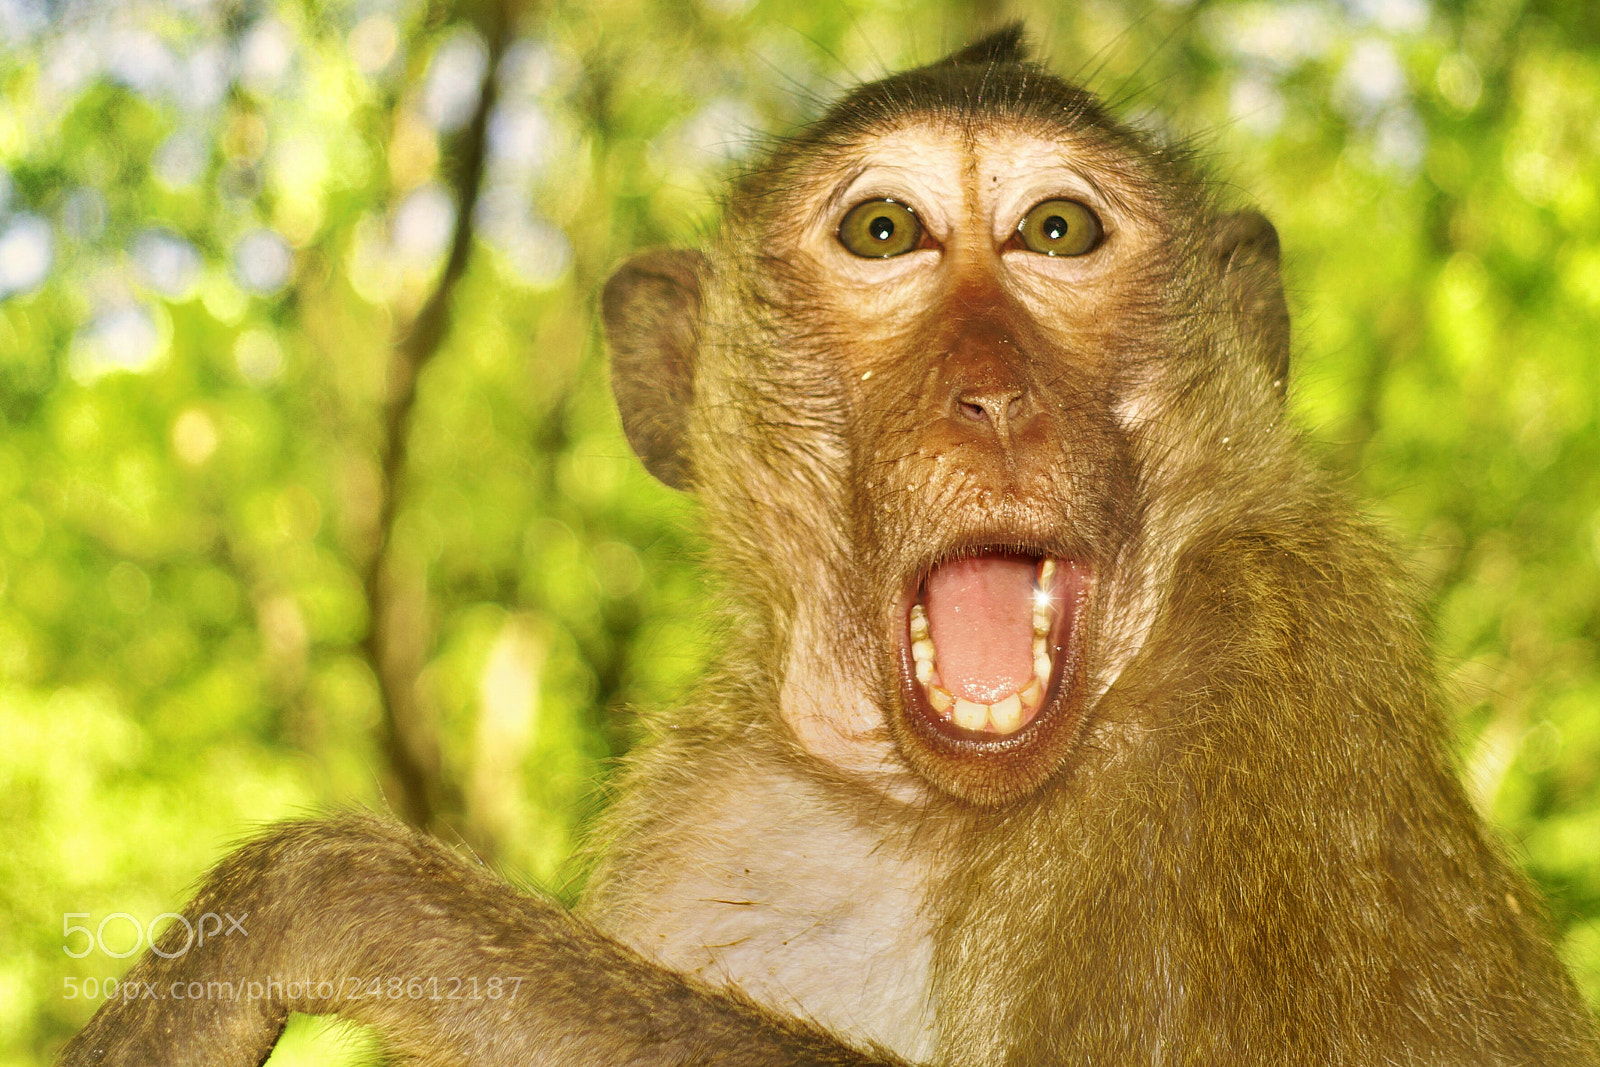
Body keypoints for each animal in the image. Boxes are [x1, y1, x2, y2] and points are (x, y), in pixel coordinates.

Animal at [59, 27, 1600, 1067]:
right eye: (883, 229)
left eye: (1057, 231)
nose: (991, 393)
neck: (928, 814)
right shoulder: (716, 806)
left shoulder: (1264, 705)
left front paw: (315, 903)